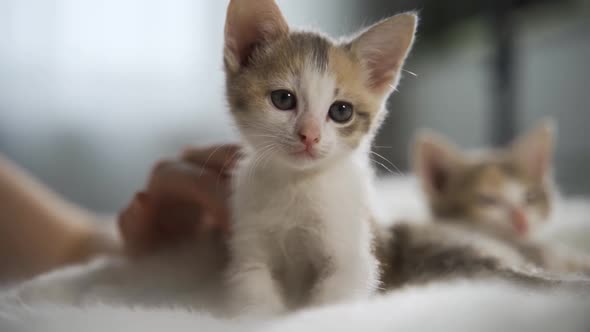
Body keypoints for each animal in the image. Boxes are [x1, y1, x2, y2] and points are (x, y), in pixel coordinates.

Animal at [224, 0, 418, 316]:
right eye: (283, 99)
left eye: (341, 111)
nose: (309, 135)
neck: (298, 184)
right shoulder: (249, 253)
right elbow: (254, 291)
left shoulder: (353, 261)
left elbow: (331, 303)